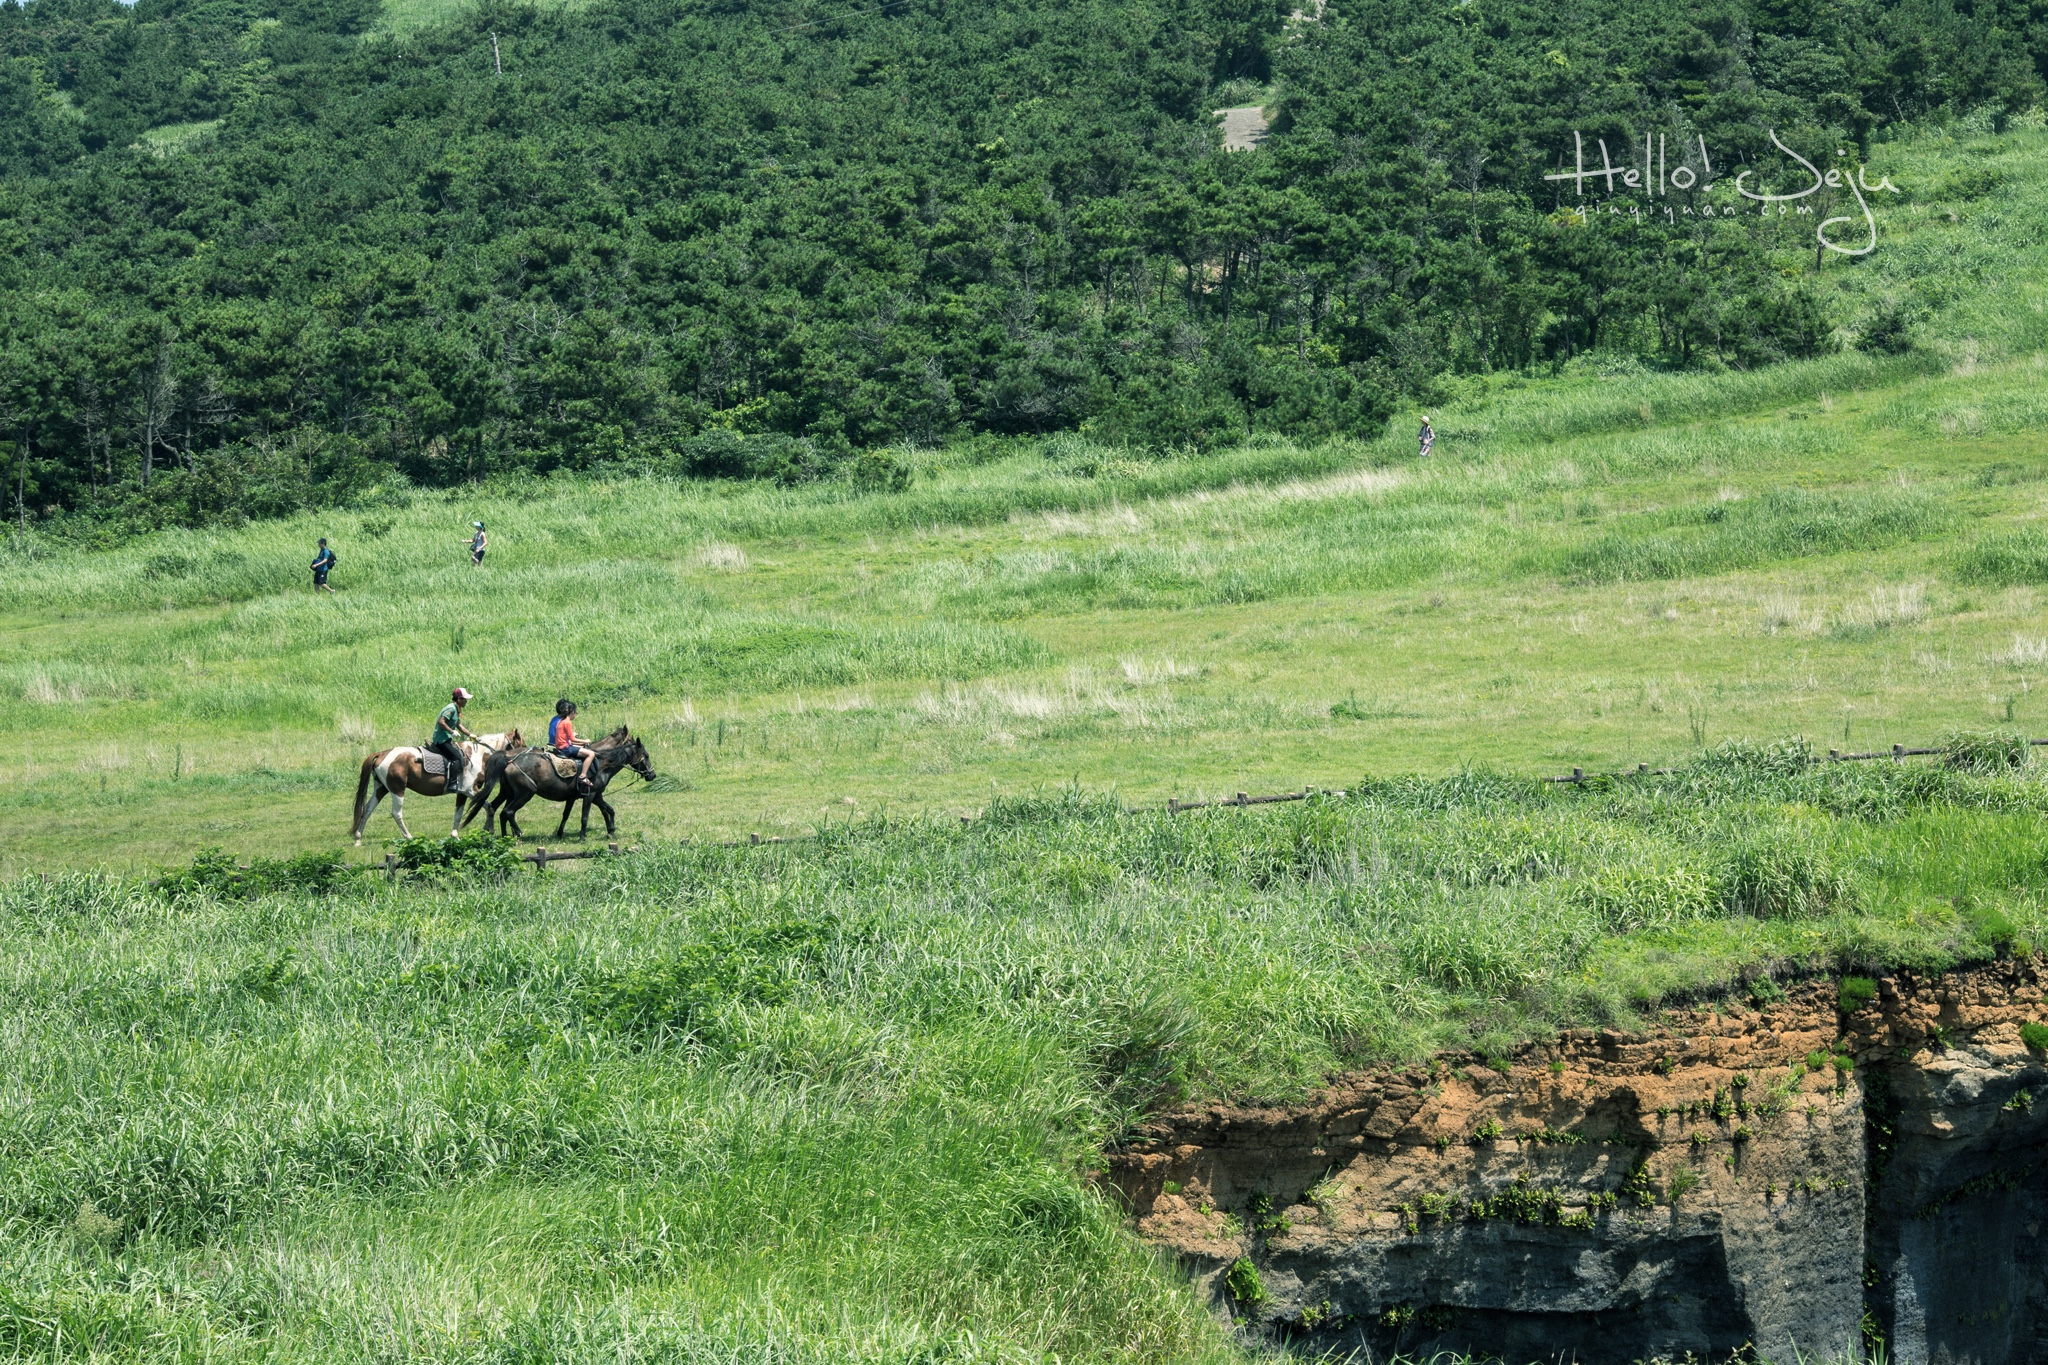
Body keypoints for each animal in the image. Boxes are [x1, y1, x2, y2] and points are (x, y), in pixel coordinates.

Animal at [348, 724, 520, 843]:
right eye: (520, 742)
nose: (523, 757)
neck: (476, 755)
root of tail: (382, 753)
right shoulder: (470, 790)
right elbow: (488, 806)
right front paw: (489, 830)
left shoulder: (462, 793)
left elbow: (458, 813)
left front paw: (455, 835)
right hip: (397, 790)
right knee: (396, 813)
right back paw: (408, 836)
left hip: (381, 789)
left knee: (367, 809)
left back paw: (358, 838)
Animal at [483, 724, 651, 843]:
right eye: (646, 755)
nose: (652, 775)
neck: (602, 762)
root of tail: (509, 760)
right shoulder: (590, 796)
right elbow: (585, 816)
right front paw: (583, 837)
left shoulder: (590, 796)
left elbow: (606, 810)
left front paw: (610, 831)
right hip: (524, 794)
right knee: (508, 812)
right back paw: (516, 833)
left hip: (508, 793)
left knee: (497, 810)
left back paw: (505, 836)